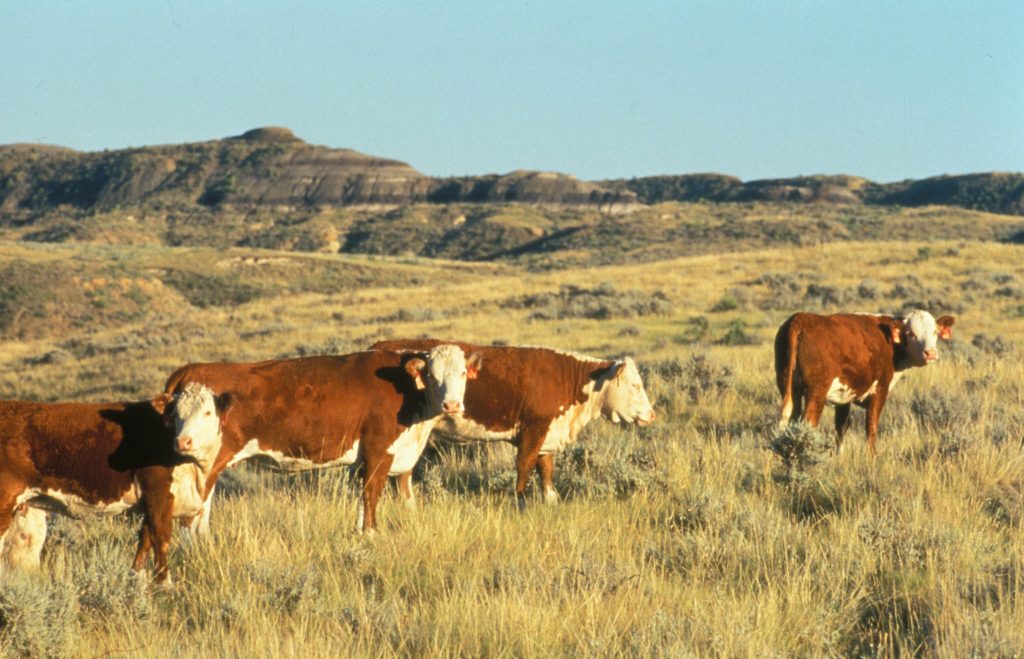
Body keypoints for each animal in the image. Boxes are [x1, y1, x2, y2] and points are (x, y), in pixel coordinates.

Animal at [0, 386, 225, 581]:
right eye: (176, 414)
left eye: (207, 413)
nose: (184, 441)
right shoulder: (159, 494)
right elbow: (161, 538)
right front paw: (165, 584)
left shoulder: (150, 501)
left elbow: (145, 539)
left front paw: (137, 579)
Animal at [161, 345, 481, 536]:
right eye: (432, 374)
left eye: (463, 373)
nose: (452, 405)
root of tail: (191, 369)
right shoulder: (379, 449)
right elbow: (371, 494)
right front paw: (372, 534)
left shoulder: (366, 458)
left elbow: (361, 498)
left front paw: (359, 532)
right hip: (204, 460)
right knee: (192, 513)